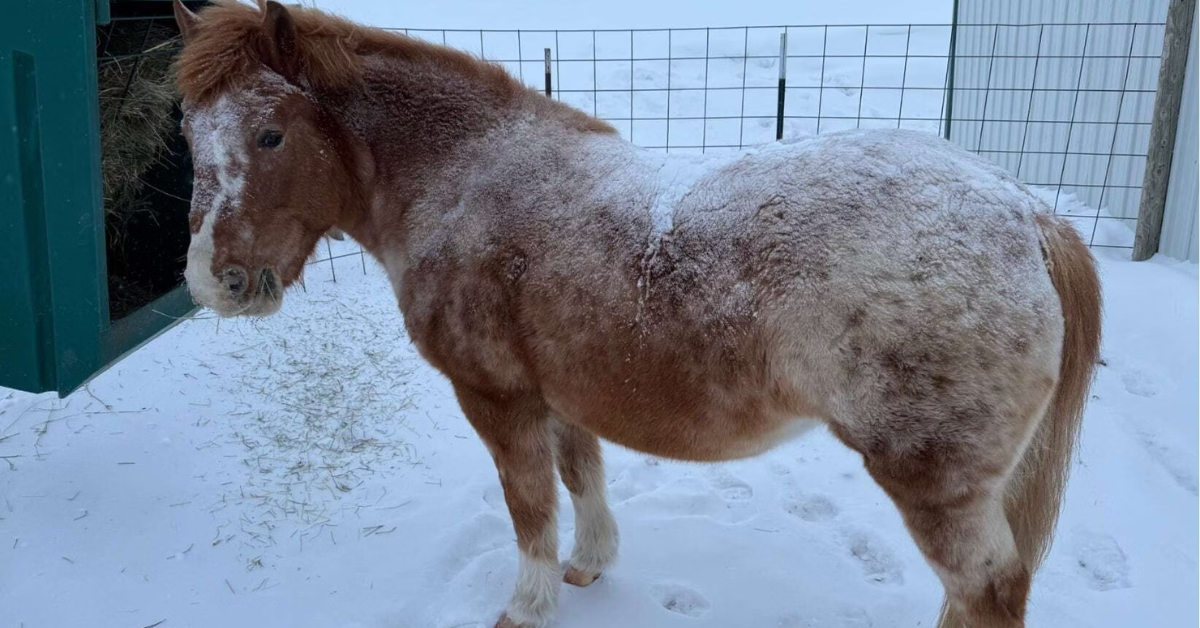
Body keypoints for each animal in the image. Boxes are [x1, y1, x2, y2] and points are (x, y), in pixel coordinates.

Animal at [174, 2, 1099, 624]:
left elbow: (530, 509)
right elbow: (583, 479)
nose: (215, 282)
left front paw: (527, 606)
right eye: (189, 133)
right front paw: (589, 568)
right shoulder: (560, 395)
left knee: (988, 590)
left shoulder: (496, 399)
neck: (465, 180)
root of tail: (1026, 212)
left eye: (270, 135)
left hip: (937, 486)